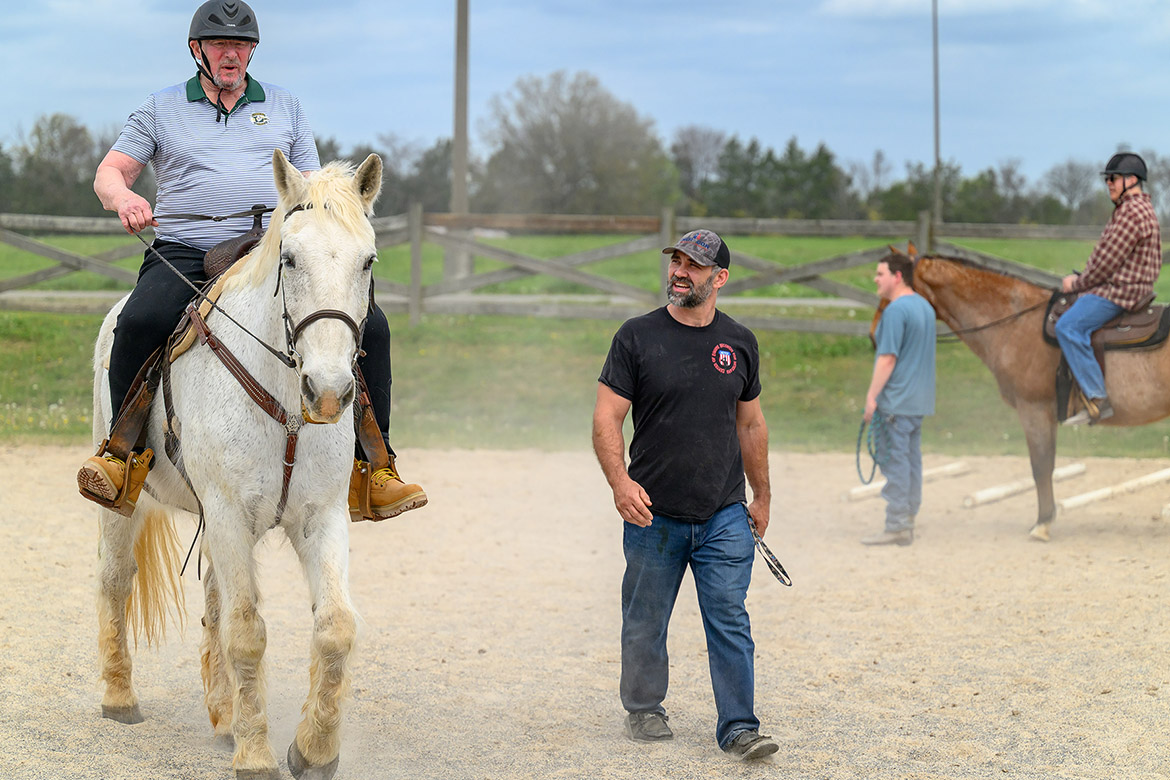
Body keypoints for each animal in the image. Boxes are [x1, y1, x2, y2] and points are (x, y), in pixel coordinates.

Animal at [92, 149, 383, 780]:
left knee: (214, 605)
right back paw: (120, 697)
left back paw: (223, 715)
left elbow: (335, 627)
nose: (329, 392)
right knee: (116, 580)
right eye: (289, 257)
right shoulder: (227, 513)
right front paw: (256, 754)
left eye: (368, 259)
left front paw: (313, 749)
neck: (287, 406)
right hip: (126, 503)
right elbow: (247, 632)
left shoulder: (320, 516)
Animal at [878, 247, 1170, 542]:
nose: (876, 334)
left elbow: (1041, 465)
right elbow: (1045, 465)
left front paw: (1042, 524)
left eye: (892, 292)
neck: (1017, 320)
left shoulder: (1034, 408)